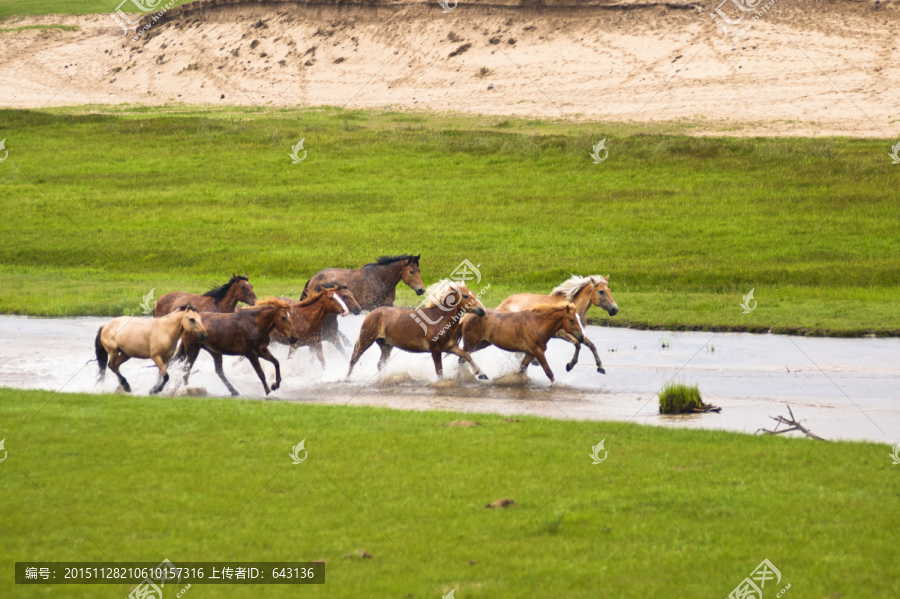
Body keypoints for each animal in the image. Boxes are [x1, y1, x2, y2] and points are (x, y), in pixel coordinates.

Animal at [346, 280, 488, 380]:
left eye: (473, 294)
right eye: (465, 296)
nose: (482, 311)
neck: (439, 320)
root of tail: (370, 314)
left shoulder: (450, 347)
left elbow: (466, 356)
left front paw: (481, 374)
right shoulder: (435, 350)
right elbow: (439, 371)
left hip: (386, 345)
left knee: (380, 364)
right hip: (366, 340)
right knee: (354, 359)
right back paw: (346, 379)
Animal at [460, 304, 588, 384]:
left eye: (578, 318)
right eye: (571, 319)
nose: (582, 337)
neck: (538, 324)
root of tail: (466, 317)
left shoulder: (531, 353)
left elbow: (521, 369)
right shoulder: (538, 352)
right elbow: (548, 371)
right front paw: (557, 384)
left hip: (482, 344)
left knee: (462, 358)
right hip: (471, 344)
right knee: (463, 357)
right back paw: (476, 374)